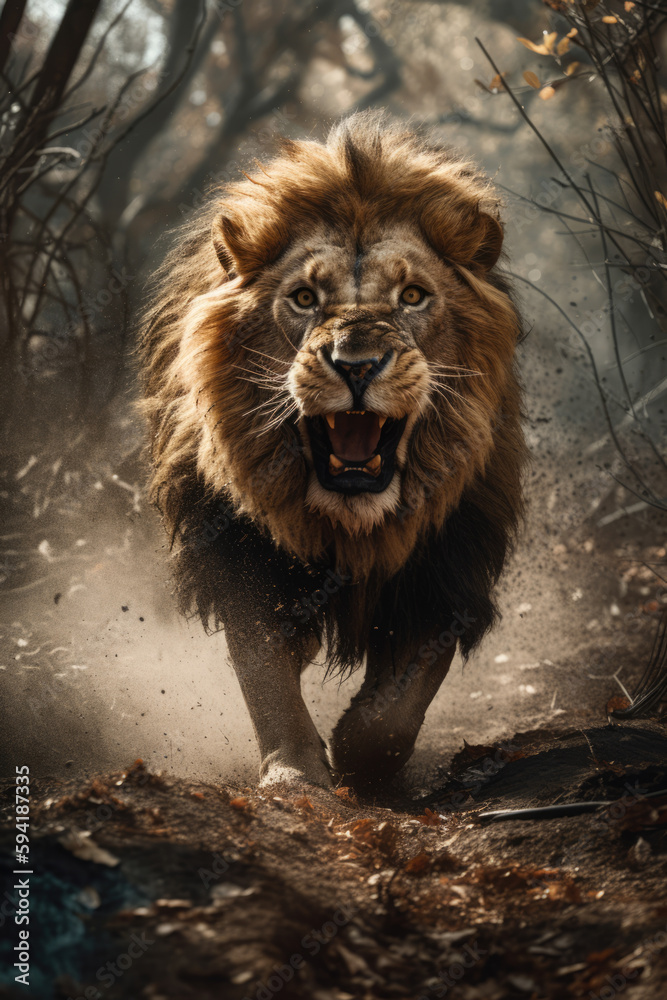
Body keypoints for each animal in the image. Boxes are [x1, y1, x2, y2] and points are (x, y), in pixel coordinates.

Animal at [140, 112, 526, 790]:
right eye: (303, 298)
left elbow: (399, 704)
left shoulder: (447, 563)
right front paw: (295, 772)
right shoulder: (241, 554)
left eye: (412, 296)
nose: (357, 364)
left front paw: (357, 757)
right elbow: (264, 672)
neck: (353, 524)